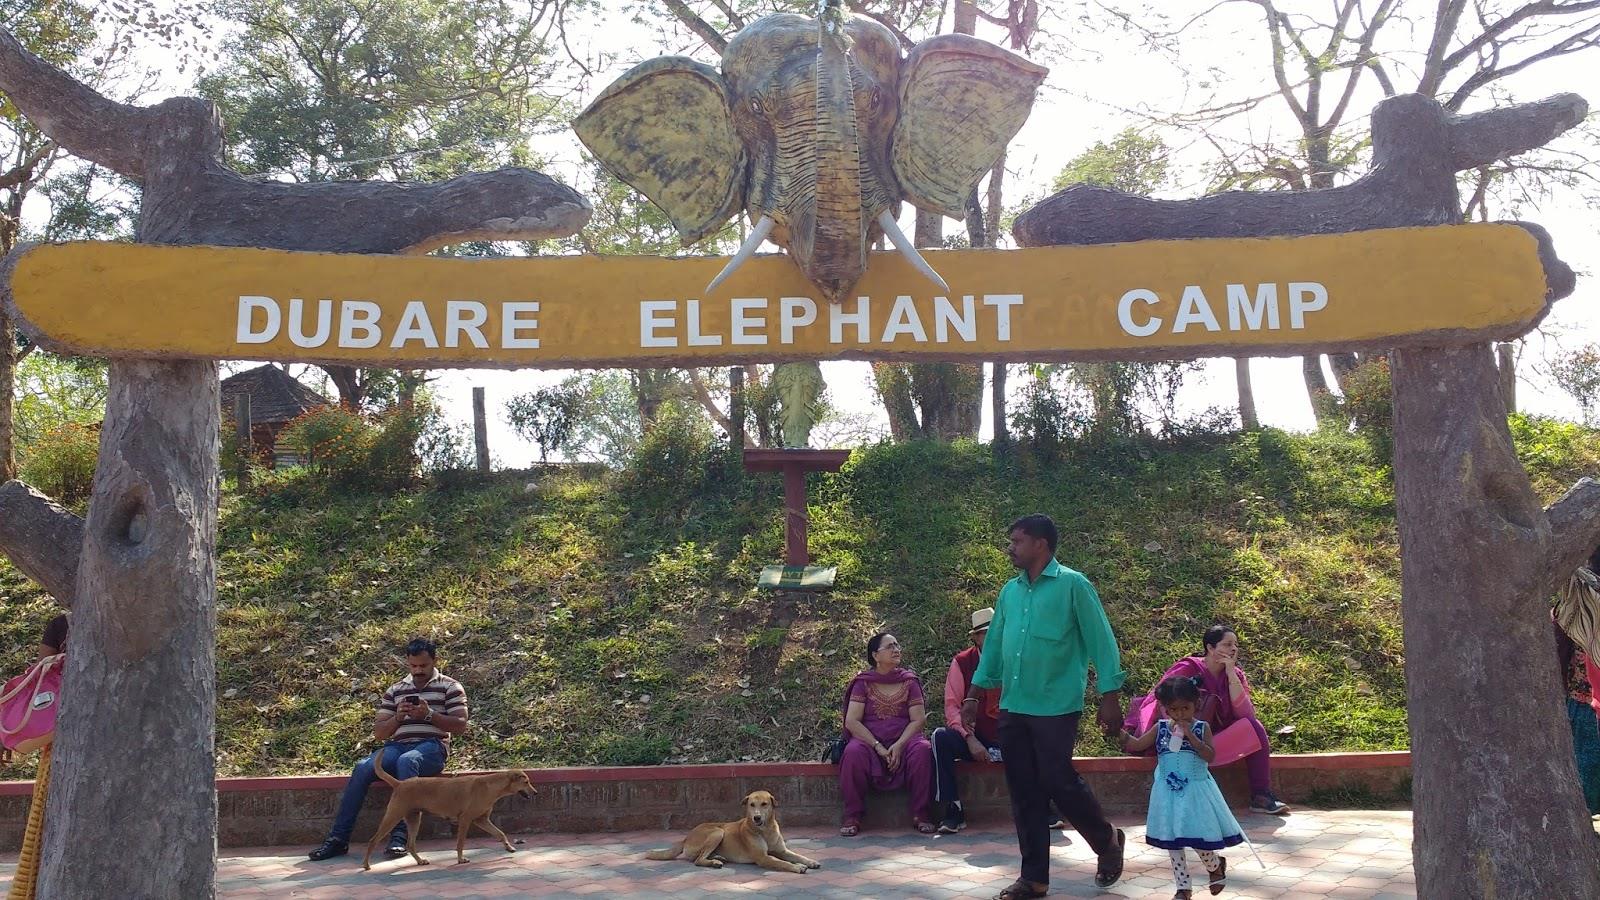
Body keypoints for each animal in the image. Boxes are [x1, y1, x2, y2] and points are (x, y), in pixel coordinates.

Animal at [363, 749, 537, 871]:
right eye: (526, 782)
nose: (535, 793)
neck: (491, 787)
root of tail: (399, 783)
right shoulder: (465, 820)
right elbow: (460, 843)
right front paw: (461, 859)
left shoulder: (482, 820)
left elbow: (500, 833)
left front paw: (509, 847)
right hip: (393, 816)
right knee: (373, 840)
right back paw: (366, 865)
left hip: (414, 819)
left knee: (410, 844)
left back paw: (420, 861)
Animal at [643, 791, 825, 871]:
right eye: (752, 805)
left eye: (764, 804)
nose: (756, 818)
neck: (766, 831)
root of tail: (686, 837)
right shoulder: (763, 858)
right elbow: (782, 863)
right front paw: (798, 867)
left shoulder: (783, 851)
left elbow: (797, 856)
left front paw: (810, 861)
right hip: (717, 832)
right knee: (697, 860)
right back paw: (714, 862)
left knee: (700, 856)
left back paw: (718, 857)